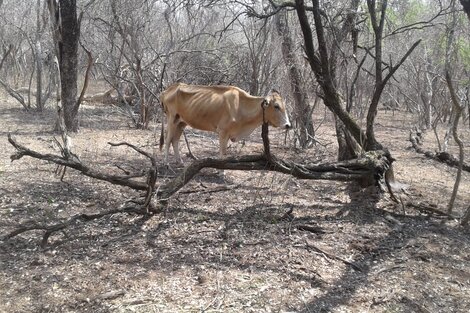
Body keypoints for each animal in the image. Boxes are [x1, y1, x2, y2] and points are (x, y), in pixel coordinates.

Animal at [161, 83, 290, 163]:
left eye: (284, 106)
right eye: (276, 106)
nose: (288, 125)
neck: (240, 106)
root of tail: (168, 89)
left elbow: (225, 153)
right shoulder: (222, 132)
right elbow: (222, 154)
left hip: (181, 122)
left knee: (175, 140)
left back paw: (180, 161)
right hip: (171, 118)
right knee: (168, 140)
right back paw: (166, 163)